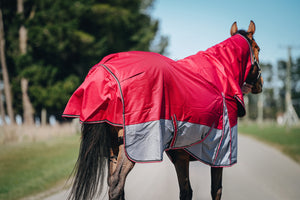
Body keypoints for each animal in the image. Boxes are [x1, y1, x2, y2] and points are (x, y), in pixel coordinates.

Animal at [63, 20, 262, 200]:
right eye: (258, 48)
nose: (260, 84)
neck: (219, 76)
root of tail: (105, 73)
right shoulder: (219, 155)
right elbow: (216, 190)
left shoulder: (180, 156)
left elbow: (186, 191)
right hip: (131, 147)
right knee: (117, 184)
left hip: (113, 147)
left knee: (113, 184)